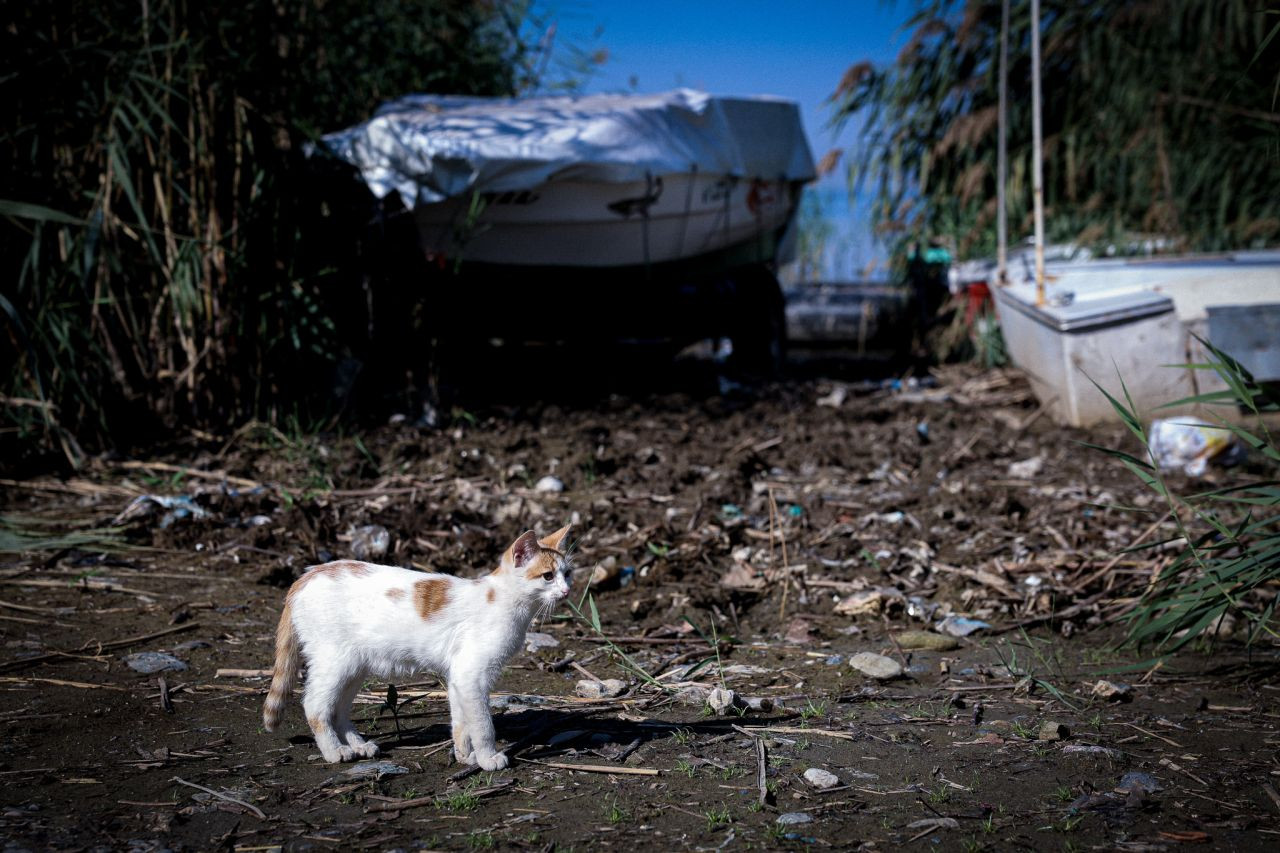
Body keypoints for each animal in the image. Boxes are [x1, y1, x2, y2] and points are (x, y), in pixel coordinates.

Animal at [262, 522, 573, 768]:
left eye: (567, 573)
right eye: (548, 576)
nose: (568, 590)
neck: (502, 600)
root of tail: (306, 575)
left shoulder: (459, 678)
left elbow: (461, 722)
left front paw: (465, 756)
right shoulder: (472, 675)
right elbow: (483, 724)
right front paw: (488, 758)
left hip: (354, 667)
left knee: (337, 709)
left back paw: (358, 745)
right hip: (335, 662)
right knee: (315, 706)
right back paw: (335, 751)